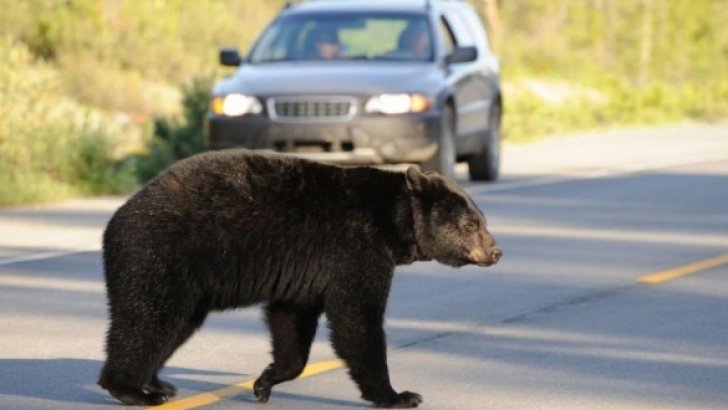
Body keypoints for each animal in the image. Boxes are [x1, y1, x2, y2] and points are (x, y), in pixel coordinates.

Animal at [98, 150, 500, 406]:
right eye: (472, 224)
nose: (496, 251)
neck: (392, 220)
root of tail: (114, 222)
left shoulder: (305, 269)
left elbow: (291, 320)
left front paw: (265, 382)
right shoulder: (354, 247)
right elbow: (357, 318)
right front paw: (398, 395)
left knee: (173, 325)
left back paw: (157, 384)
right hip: (160, 256)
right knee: (148, 320)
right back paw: (130, 389)